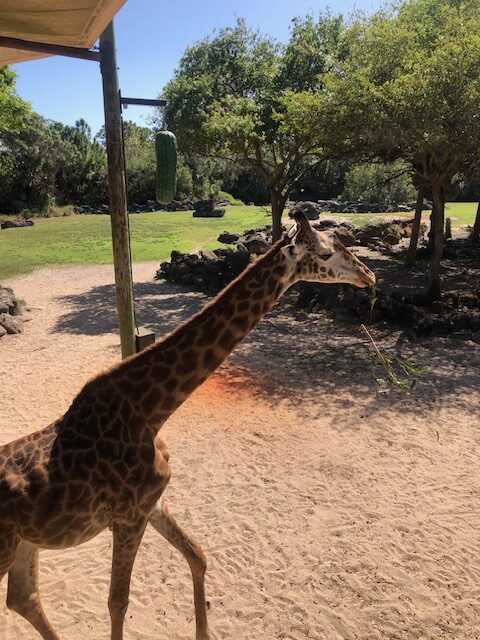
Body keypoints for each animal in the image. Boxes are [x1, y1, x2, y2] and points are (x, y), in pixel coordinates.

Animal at [0, 211, 375, 640]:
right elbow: (117, 603)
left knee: (24, 597)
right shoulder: (128, 516)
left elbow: (198, 555)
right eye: (327, 252)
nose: (369, 276)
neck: (148, 413)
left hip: (24, 543)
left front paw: (205, 632)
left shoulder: (153, 502)